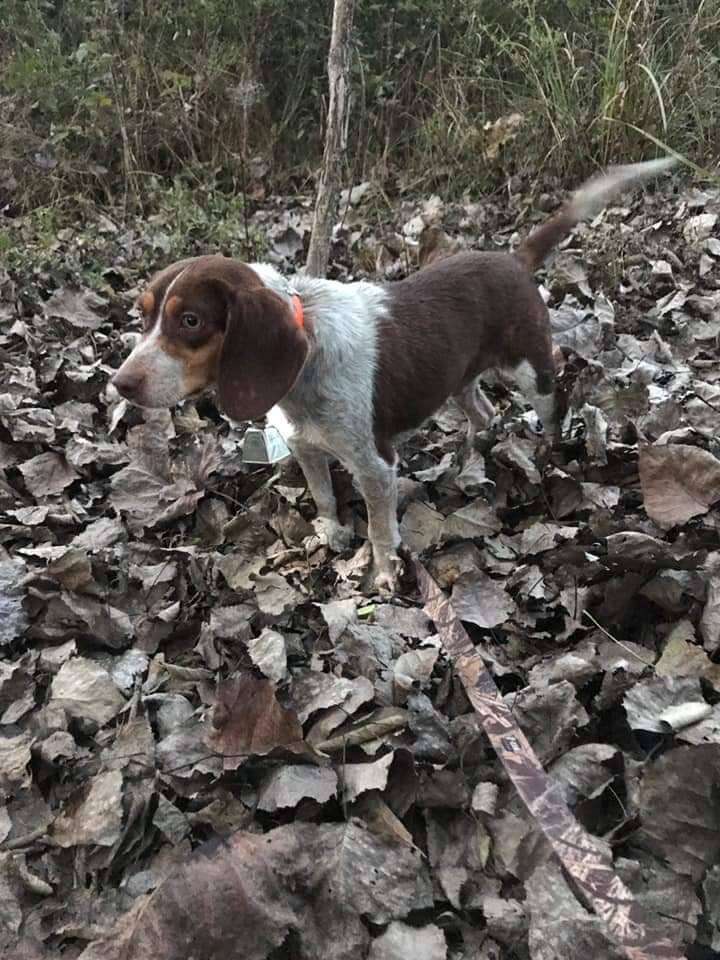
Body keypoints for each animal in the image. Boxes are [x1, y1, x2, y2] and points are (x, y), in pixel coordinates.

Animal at [111, 158, 676, 592]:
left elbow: (382, 530)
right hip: (456, 381)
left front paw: (383, 573)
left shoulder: (375, 465)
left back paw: (547, 454)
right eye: (143, 315)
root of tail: (513, 260)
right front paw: (332, 534)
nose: (120, 384)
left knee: (552, 408)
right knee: (484, 412)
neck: (304, 368)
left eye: (191, 321)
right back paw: (470, 455)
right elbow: (323, 496)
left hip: (530, 369)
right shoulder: (305, 447)